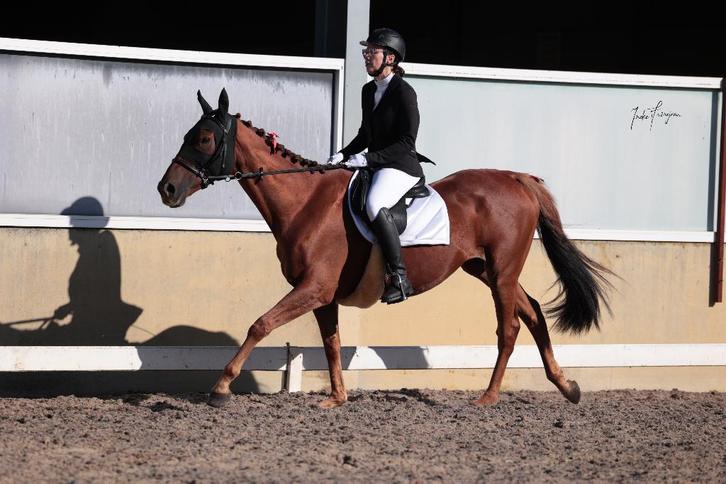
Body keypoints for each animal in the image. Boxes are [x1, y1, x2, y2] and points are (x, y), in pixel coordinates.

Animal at [157, 89, 612, 409]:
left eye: (204, 138)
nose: (167, 189)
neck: (305, 202)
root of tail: (515, 177)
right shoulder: (322, 295)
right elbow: (331, 343)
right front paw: (337, 398)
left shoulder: (313, 289)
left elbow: (260, 324)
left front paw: (220, 387)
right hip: (485, 268)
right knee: (532, 312)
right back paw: (567, 386)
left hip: (501, 270)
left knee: (510, 327)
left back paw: (489, 397)